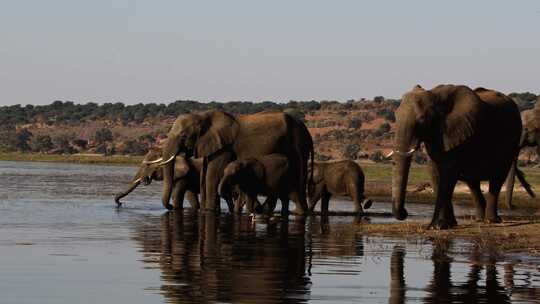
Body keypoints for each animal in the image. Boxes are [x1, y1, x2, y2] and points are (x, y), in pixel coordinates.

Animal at [153, 109, 312, 214]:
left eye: (183, 136)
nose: (171, 207)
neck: (203, 116)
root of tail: (306, 130)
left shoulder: (224, 146)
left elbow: (212, 174)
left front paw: (209, 210)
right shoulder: (210, 144)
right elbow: (204, 174)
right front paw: (206, 210)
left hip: (297, 146)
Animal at [390, 84, 524, 229]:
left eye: (422, 119)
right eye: (395, 116)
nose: (405, 213)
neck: (435, 96)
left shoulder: (457, 132)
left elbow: (448, 174)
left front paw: (438, 226)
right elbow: (434, 173)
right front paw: (446, 224)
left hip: (511, 143)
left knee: (497, 179)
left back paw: (491, 220)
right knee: (473, 182)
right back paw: (479, 219)